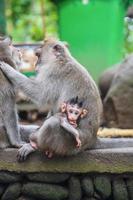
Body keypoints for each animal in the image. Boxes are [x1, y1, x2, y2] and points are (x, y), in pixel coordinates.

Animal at [0, 38, 132, 161]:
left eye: (40, 50)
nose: (36, 63)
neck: (61, 59)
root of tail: (92, 139)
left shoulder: (53, 72)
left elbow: (40, 93)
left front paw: (8, 69)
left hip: (71, 144)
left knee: (53, 124)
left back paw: (34, 146)